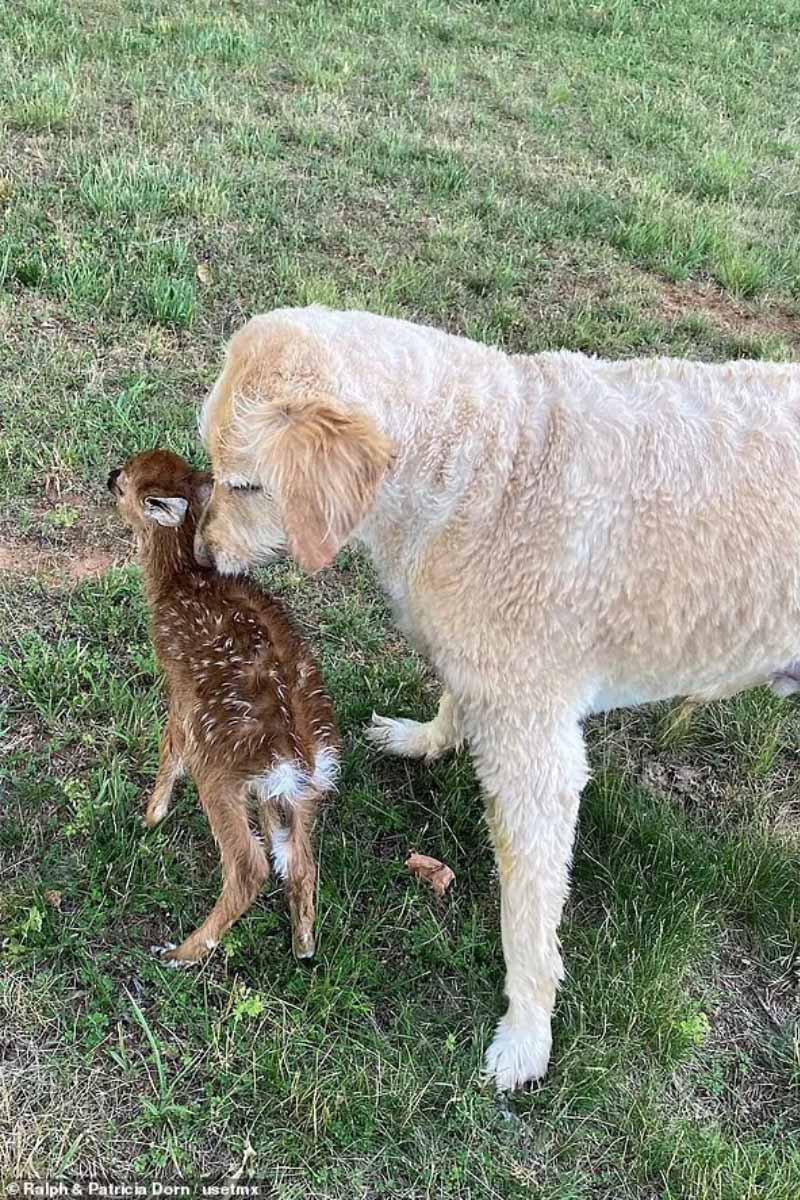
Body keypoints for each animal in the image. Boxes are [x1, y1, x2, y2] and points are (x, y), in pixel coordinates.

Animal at [196, 304, 800, 1094]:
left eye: (245, 486)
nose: (200, 558)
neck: (482, 465)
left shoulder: (536, 752)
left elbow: (529, 918)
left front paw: (526, 1037)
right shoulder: (478, 663)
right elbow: (455, 700)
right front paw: (426, 739)